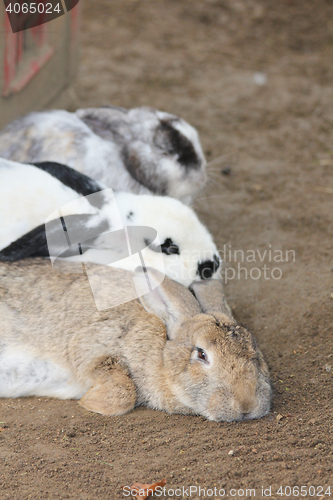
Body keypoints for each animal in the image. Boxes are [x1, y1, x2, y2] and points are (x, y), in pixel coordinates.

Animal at [0, 262, 272, 422]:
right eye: (201, 354)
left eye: (255, 350)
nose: (246, 404)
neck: (161, 350)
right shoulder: (91, 345)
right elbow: (123, 392)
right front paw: (89, 402)